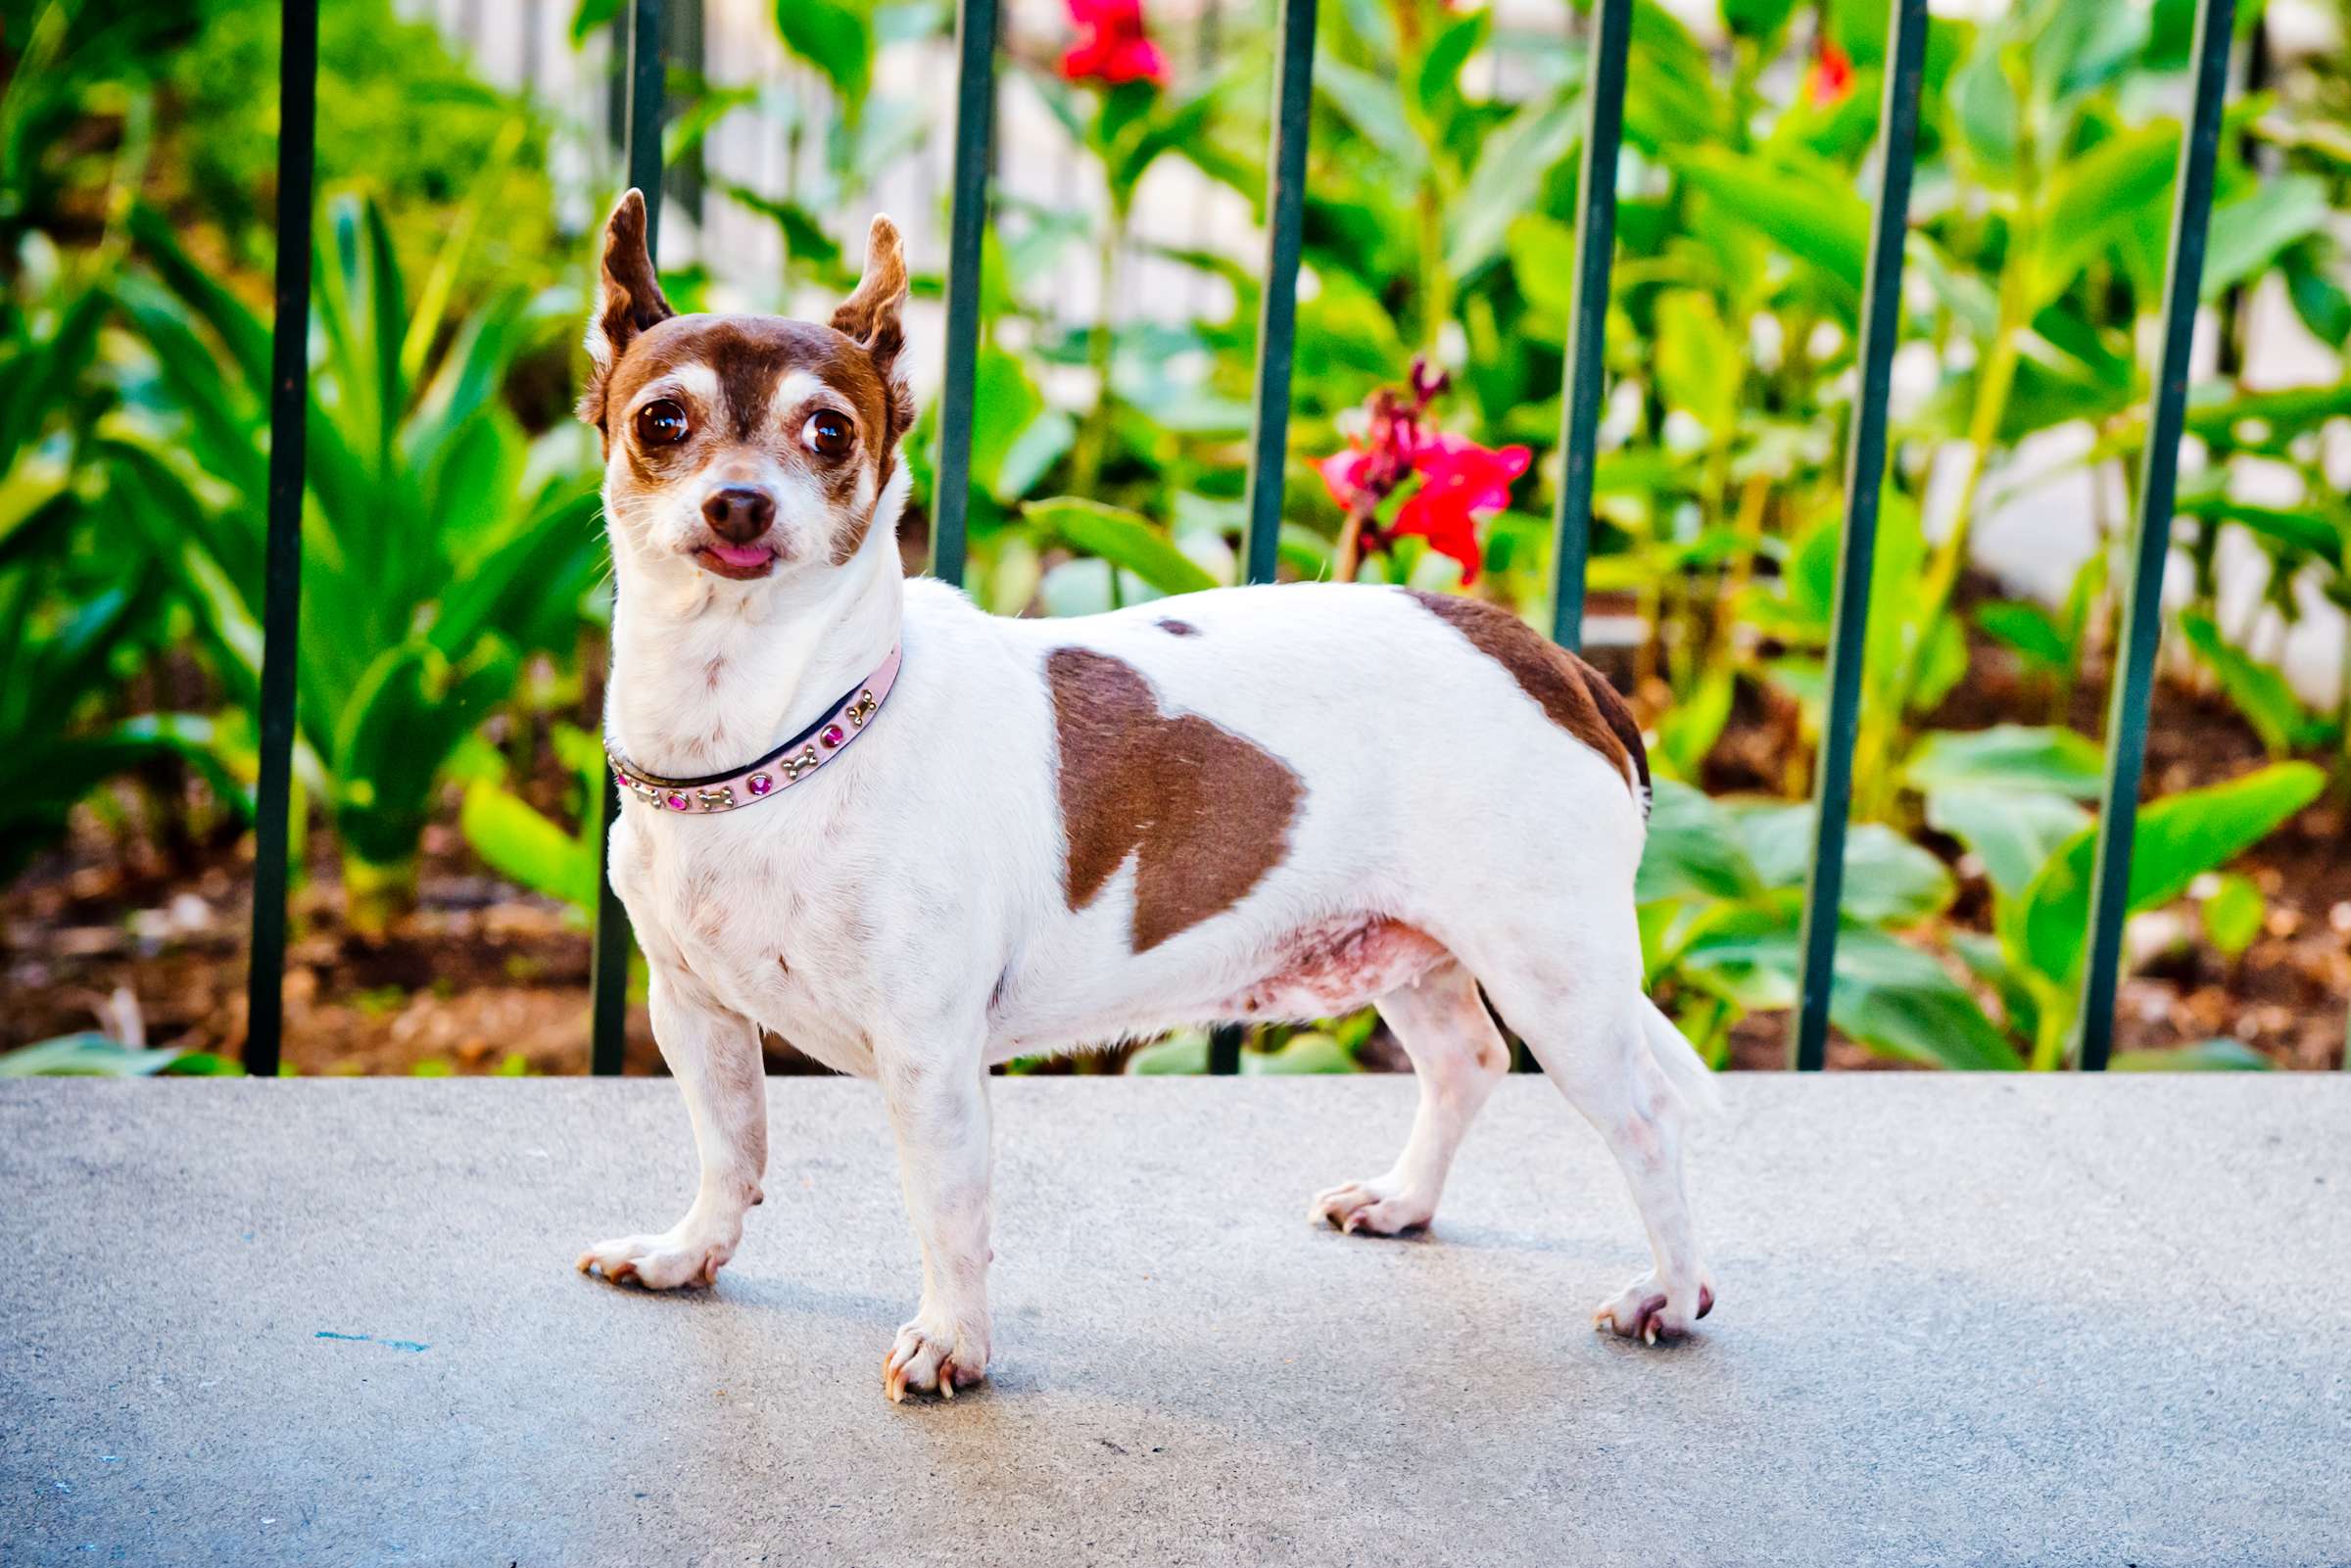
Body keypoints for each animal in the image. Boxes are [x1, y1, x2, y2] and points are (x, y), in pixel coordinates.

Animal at [568, 190, 1711, 1401]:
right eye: (661, 422)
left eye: (829, 432)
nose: (738, 502)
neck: (771, 734)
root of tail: (1559, 661)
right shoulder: (693, 1011)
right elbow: (728, 1147)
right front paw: (688, 1251)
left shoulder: (930, 1059)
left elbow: (947, 1211)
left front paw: (951, 1341)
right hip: (1412, 946)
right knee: (1466, 1062)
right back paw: (1403, 1201)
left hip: (1558, 983)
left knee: (1648, 1121)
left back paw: (1672, 1291)